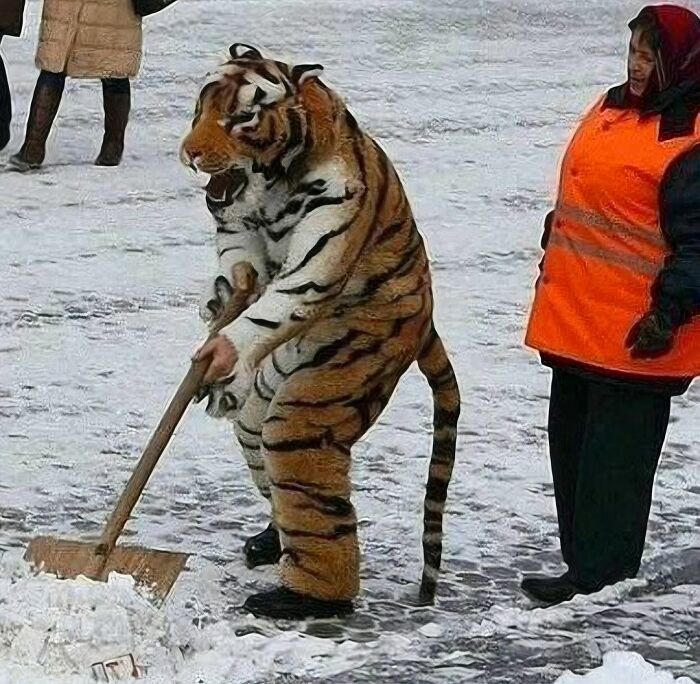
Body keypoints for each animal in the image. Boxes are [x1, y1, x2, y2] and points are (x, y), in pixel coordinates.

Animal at [181, 43, 461, 620]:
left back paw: (306, 596)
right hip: (276, 381)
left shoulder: (327, 235)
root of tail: (425, 322)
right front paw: (223, 296)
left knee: (298, 458)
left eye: (241, 118)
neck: (274, 183)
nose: (189, 154)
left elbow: (286, 295)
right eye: (201, 108)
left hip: (329, 387)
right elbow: (240, 258)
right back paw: (271, 541)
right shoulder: (238, 224)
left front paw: (222, 349)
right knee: (258, 438)